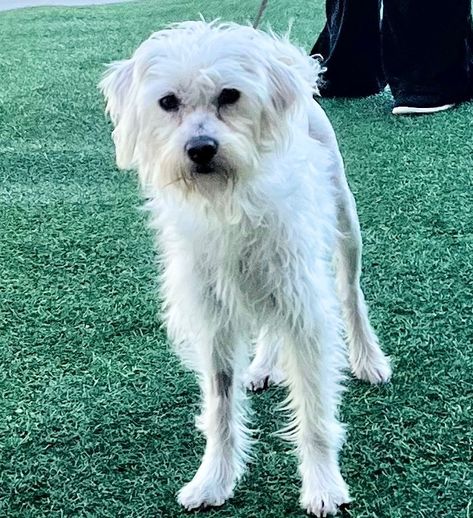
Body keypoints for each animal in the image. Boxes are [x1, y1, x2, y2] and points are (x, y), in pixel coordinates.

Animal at [99, 21, 390, 518]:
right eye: (167, 102)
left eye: (230, 95)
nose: (200, 149)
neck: (229, 200)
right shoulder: (213, 319)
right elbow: (220, 406)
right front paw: (213, 480)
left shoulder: (304, 309)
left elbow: (314, 410)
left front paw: (323, 486)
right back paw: (263, 365)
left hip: (344, 227)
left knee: (352, 295)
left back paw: (368, 359)